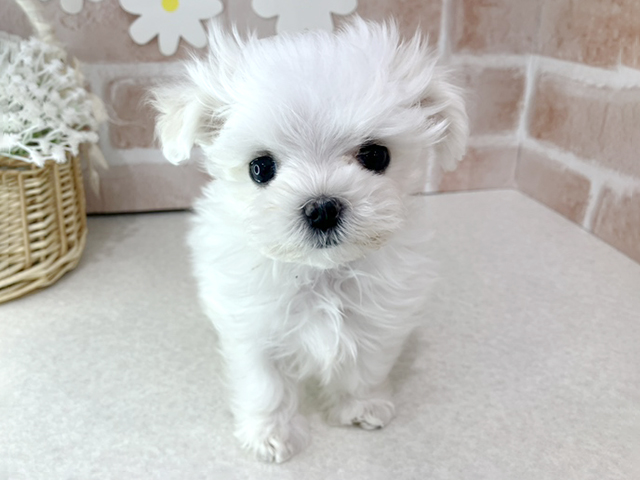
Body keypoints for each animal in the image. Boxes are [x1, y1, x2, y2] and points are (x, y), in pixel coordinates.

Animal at [151, 17, 468, 463]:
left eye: (376, 156)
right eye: (260, 168)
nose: (322, 208)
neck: (319, 273)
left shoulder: (379, 316)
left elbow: (365, 367)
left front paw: (361, 407)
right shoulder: (253, 326)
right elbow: (265, 384)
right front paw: (271, 434)